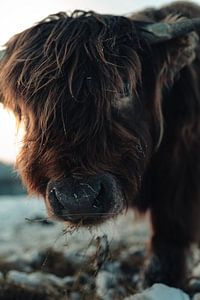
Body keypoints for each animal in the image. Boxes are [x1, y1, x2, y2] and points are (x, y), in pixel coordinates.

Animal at [0, 0, 200, 290]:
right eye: (25, 105)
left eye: (124, 87)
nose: (77, 197)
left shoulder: (181, 177)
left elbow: (170, 228)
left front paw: (160, 280)